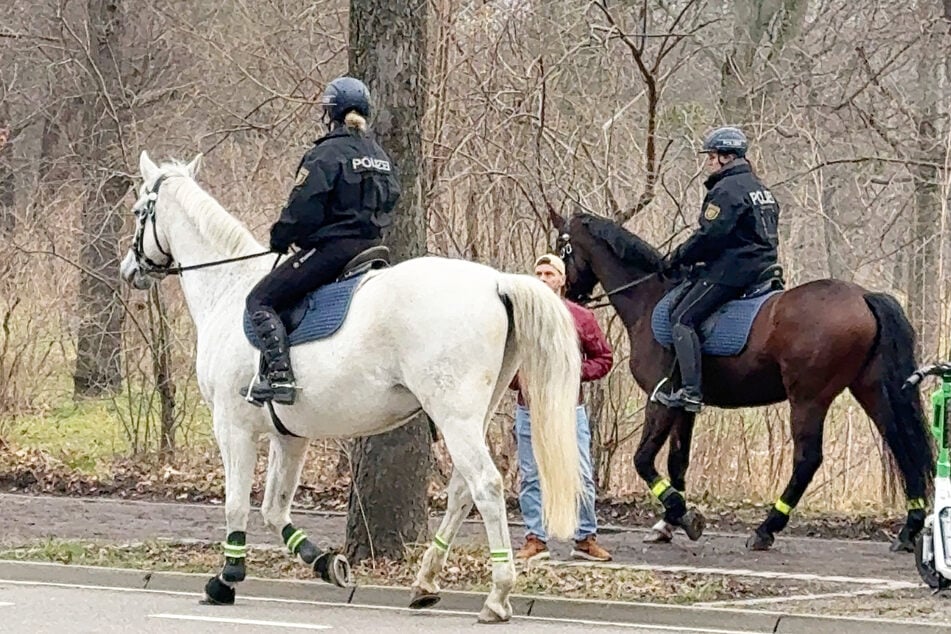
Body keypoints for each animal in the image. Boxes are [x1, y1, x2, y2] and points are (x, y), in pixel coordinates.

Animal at [119, 151, 580, 620]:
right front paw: (326, 563)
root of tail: (496, 282)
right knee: (462, 491)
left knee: (485, 485)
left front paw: (226, 580)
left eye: (139, 211)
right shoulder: (290, 436)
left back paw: (497, 595)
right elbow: (273, 509)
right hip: (473, 416)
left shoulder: (233, 428)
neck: (228, 289)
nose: (130, 270)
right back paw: (425, 582)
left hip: (454, 416)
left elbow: (237, 505)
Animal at [556, 210, 932, 552]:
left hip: (808, 398)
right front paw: (667, 523)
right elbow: (678, 461)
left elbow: (644, 460)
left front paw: (681, 514)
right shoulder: (684, 406)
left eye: (562, 248)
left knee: (807, 460)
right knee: (900, 443)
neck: (649, 299)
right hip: (870, 389)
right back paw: (908, 530)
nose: (567, 296)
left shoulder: (659, 400)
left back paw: (767, 529)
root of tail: (863, 296)